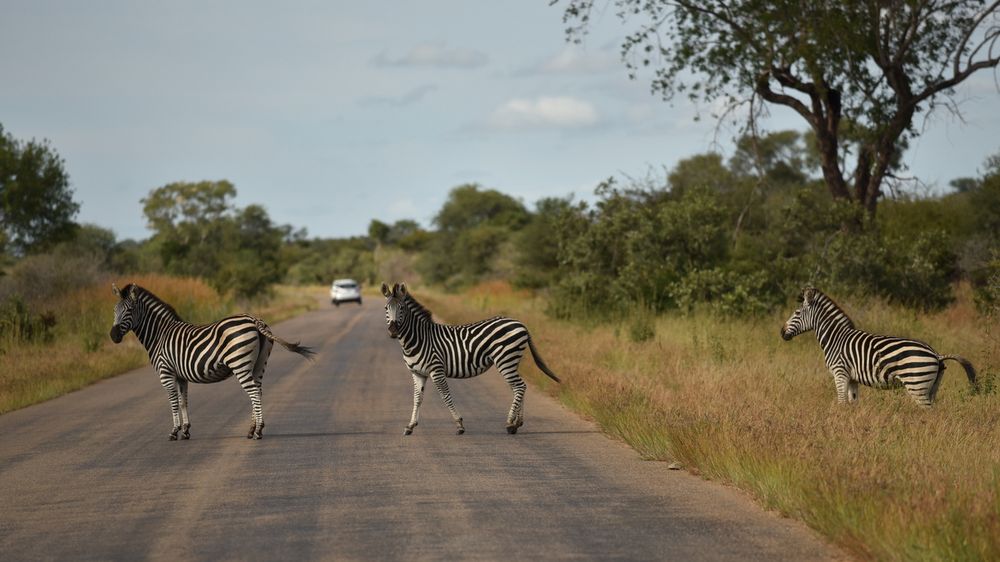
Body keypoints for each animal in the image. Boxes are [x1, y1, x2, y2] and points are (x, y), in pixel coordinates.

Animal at [108, 282, 314, 440]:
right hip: (259, 364)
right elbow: (183, 402)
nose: (113, 336)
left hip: (240, 364)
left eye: (129, 310)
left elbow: (173, 401)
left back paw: (258, 430)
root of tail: (254, 320)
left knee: (254, 392)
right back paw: (252, 429)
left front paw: (174, 432)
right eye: (114, 310)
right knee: (259, 391)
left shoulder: (165, 372)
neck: (160, 334)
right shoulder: (180, 375)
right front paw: (186, 431)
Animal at [380, 282, 560, 436]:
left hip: (505, 359)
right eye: (386, 308)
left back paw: (510, 423)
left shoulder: (436, 370)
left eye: (402, 308)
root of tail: (521, 324)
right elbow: (417, 399)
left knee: (519, 386)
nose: (393, 331)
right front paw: (410, 426)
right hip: (511, 360)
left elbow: (446, 396)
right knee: (519, 387)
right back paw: (517, 423)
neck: (418, 339)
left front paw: (459, 425)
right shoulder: (417, 373)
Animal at [780, 286, 976, 404]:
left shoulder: (840, 372)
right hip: (931, 387)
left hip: (917, 385)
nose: (781, 332)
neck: (836, 338)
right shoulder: (852, 378)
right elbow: (852, 403)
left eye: (797, 313)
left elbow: (841, 402)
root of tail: (936, 354)